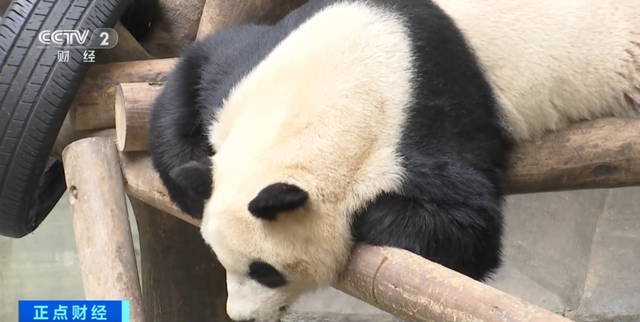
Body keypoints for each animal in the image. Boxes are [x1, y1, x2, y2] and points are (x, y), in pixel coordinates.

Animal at [146, 0, 640, 320]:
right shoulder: (253, 63)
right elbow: (194, 68)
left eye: (265, 271)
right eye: (221, 261)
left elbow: (469, 223)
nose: (243, 316)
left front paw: (369, 217)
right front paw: (189, 177)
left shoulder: (432, 111)